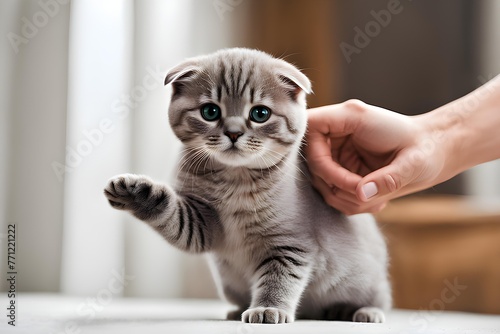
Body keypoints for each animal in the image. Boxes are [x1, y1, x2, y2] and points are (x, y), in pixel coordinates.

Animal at [104, 47, 390, 324]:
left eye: (260, 114)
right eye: (210, 111)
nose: (233, 132)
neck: (235, 180)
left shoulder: (291, 244)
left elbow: (279, 280)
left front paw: (268, 308)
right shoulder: (202, 225)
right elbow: (170, 212)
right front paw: (135, 192)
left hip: (368, 283)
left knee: (378, 300)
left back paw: (363, 312)